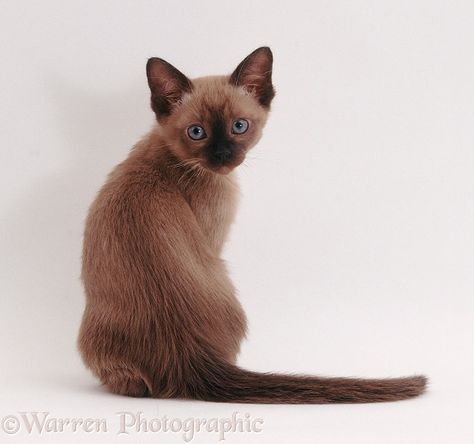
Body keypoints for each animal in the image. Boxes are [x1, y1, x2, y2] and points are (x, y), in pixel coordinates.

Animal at [78, 46, 426, 402]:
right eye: (197, 132)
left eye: (239, 126)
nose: (222, 155)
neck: (169, 157)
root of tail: (189, 358)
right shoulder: (213, 239)